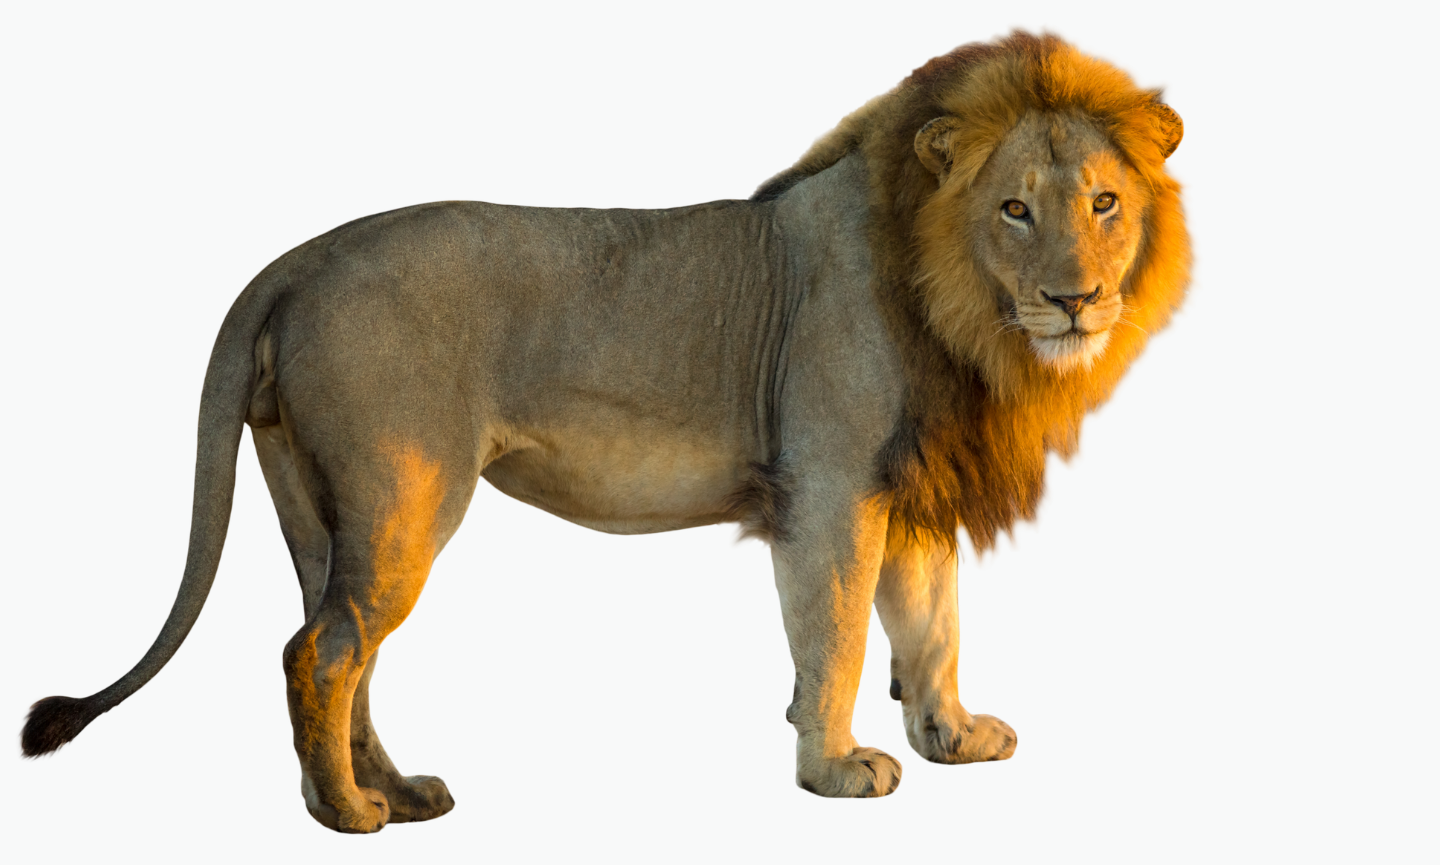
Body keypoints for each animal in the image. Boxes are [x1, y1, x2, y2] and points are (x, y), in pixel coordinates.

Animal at [21, 32, 1189, 832]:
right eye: (1014, 209)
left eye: (1103, 202)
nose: (1078, 300)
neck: (963, 315)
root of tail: (294, 260)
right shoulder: (828, 486)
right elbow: (841, 634)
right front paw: (834, 770)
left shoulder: (912, 483)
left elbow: (932, 621)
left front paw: (952, 736)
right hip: (407, 494)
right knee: (322, 650)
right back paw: (346, 815)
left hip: (322, 503)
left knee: (339, 647)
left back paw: (392, 790)